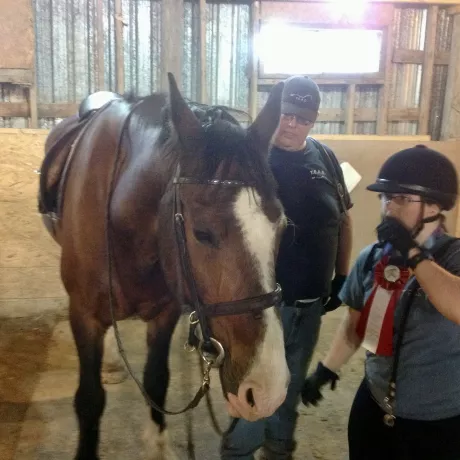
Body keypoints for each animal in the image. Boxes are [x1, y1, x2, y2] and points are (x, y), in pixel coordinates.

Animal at [40, 73, 292, 458]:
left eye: (282, 227)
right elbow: (89, 399)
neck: (120, 210)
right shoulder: (83, 314)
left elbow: (157, 380)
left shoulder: (165, 313)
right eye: (202, 233)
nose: (267, 390)